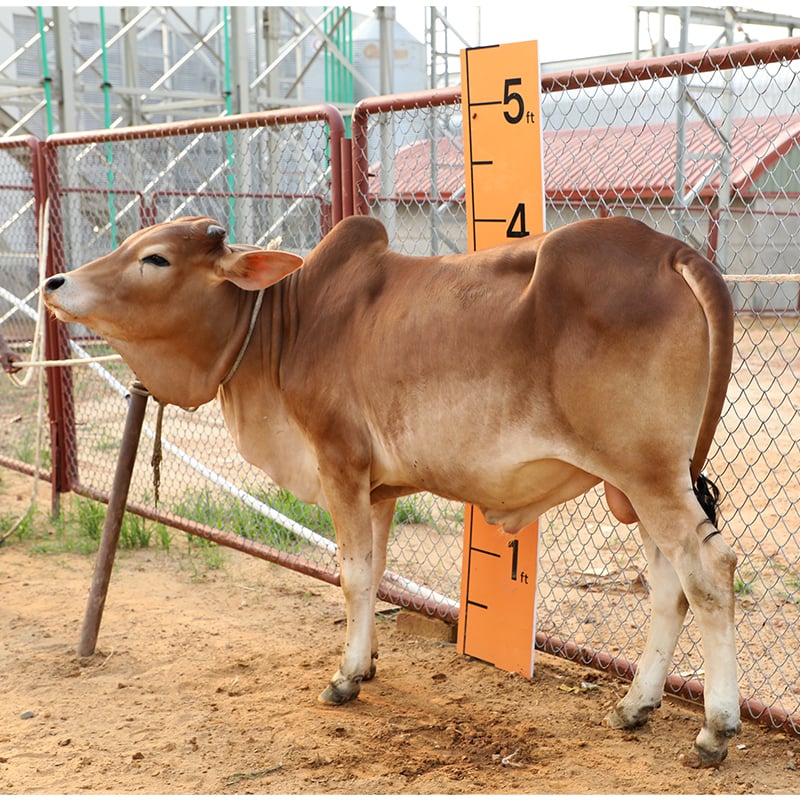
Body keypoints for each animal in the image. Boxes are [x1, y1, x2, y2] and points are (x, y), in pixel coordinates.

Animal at [43, 213, 738, 767]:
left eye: (156, 258)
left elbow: (351, 576)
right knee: (669, 587)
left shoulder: (340, 464)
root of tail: (670, 250)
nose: (54, 284)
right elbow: (374, 574)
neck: (282, 327)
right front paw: (369, 660)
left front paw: (345, 677)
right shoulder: (377, 490)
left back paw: (714, 730)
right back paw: (635, 706)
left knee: (709, 571)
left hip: (647, 473)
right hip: (640, 483)